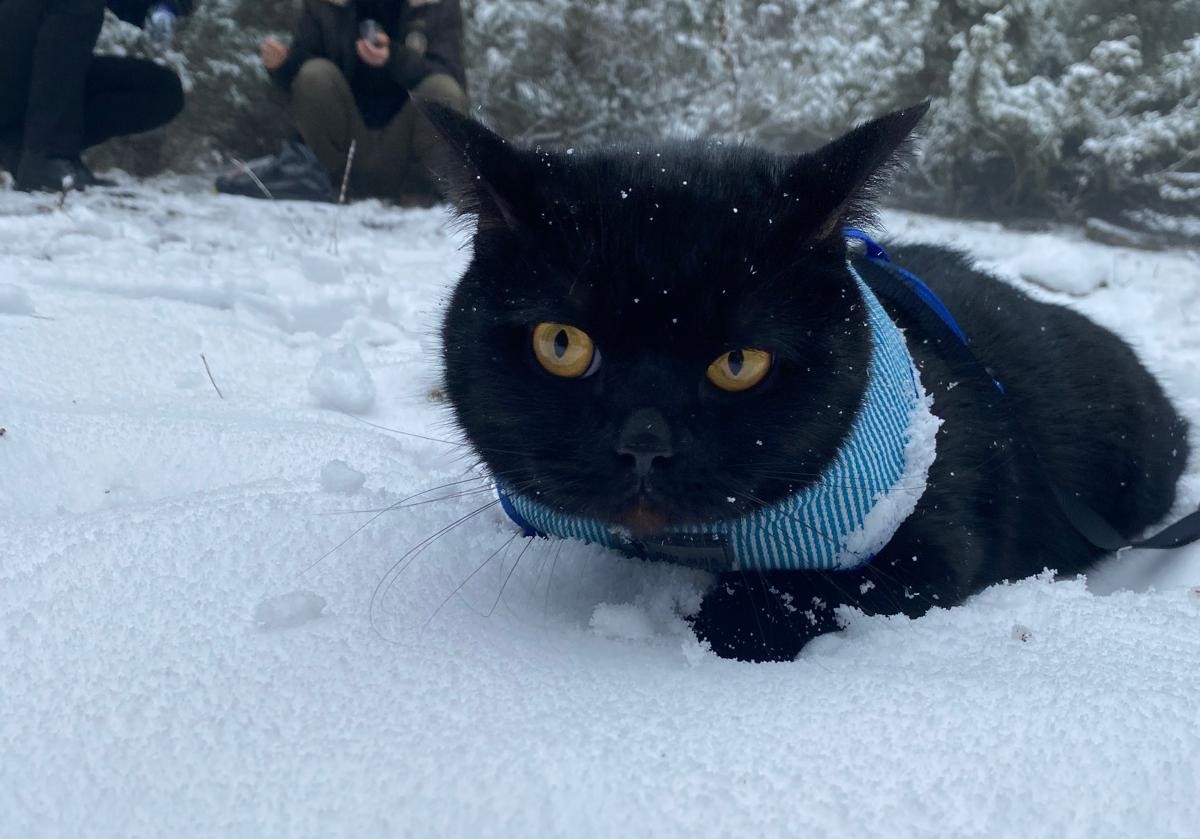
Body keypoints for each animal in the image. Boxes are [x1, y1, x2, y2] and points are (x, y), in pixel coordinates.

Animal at [427, 100, 1185, 662]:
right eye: (562, 343)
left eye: (740, 363)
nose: (644, 443)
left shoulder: (928, 545)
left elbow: (800, 593)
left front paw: (716, 621)